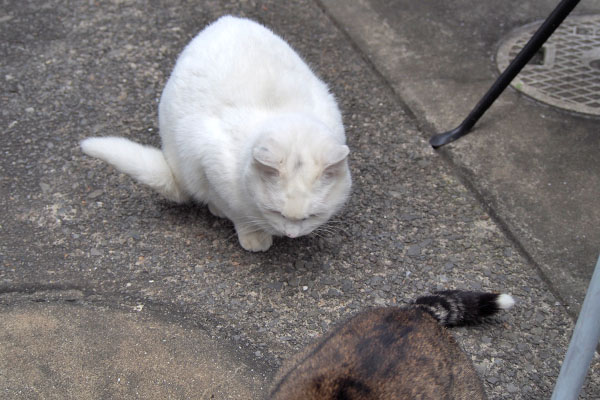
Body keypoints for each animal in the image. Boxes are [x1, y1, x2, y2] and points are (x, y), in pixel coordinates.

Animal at [81, 18, 352, 253]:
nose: (291, 235)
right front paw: (253, 234)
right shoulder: (208, 165)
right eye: (276, 212)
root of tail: (227, 19)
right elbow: (236, 211)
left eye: (312, 216)